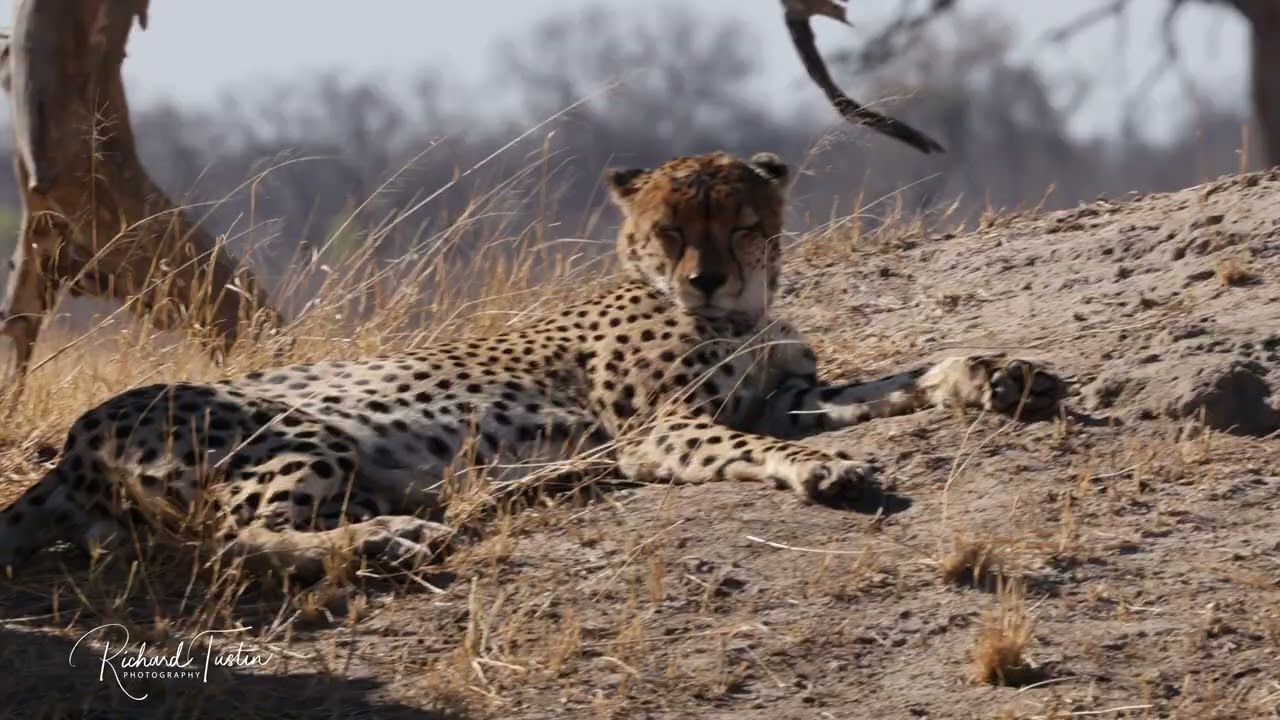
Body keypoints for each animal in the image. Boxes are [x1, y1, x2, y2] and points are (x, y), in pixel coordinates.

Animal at [0, 150, 1063, 581]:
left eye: (741, 223)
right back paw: (390, 540)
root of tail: (73, 441)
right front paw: (828, 471)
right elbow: (758, 446)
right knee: (229, 543)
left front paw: (995, 376)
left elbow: (896, 380)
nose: (707, 277)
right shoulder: (668, 428)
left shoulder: (786, 396)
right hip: (292, 432)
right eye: (670, 229)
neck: (742, 310)